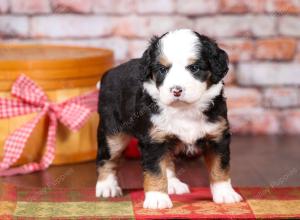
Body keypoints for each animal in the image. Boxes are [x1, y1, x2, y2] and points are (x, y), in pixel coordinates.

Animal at [95, 28, 243, 209]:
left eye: (194, 68)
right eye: (162, 69)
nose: (176, 90)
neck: (184, 110)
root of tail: (109, 74)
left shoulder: (217, 137)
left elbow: (220, 168)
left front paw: (225, 194)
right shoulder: (154, 140)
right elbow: (155, 171)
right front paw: (157, 199)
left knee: (167, 161)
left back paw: (173, 184)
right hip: (113, 132)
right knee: (106, 158)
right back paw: (106, 187)